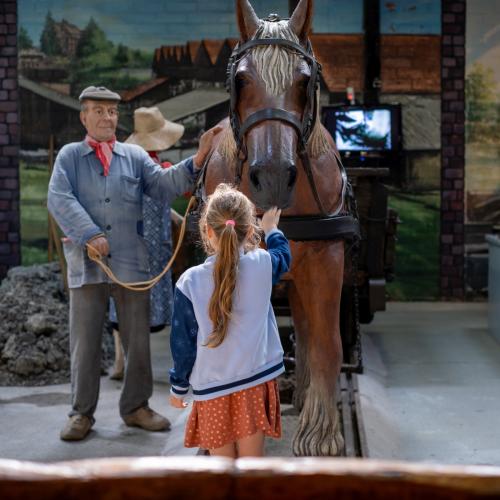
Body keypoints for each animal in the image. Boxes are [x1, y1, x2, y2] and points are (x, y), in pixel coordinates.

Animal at [198, 0, 352, 456]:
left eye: (304, 82)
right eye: (241, 79)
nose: (271, 177)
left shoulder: (326, 259)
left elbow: (326, 341)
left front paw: (321, 434)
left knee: (306, 327)